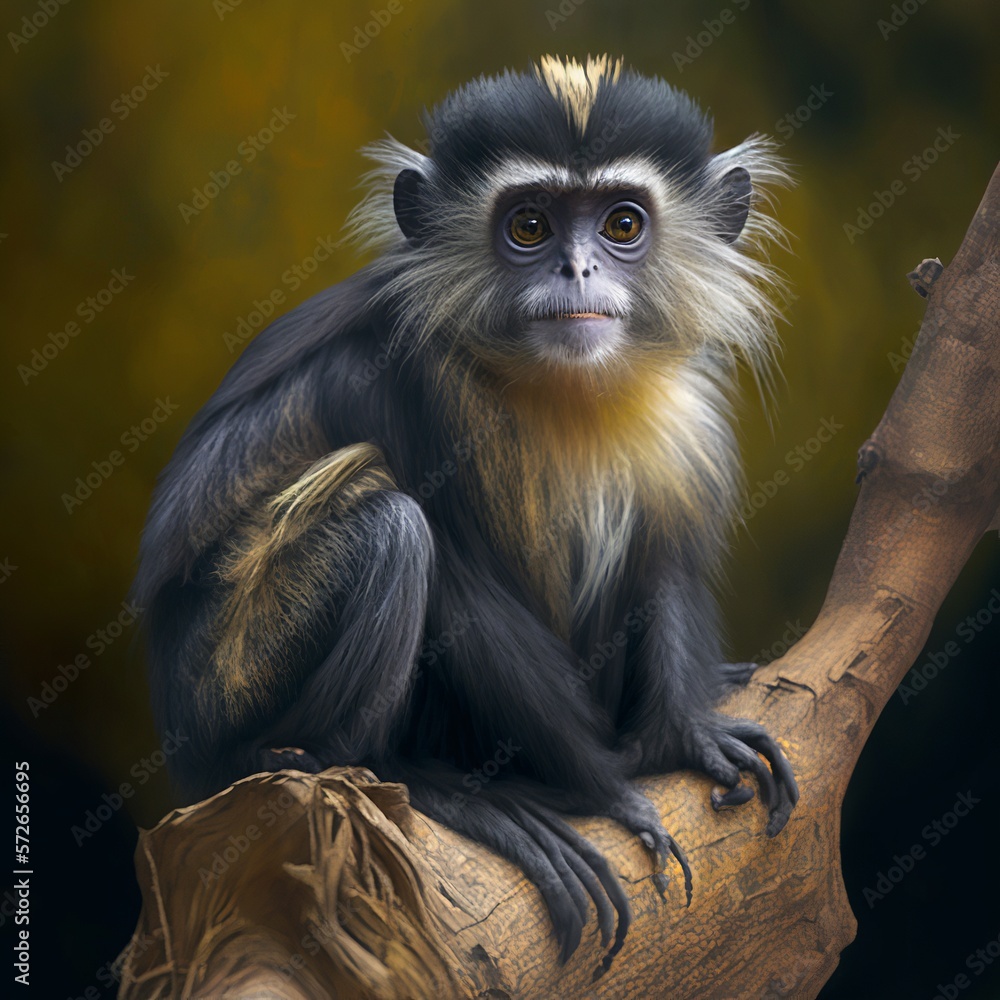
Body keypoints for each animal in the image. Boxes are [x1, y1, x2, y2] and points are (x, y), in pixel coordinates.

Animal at [133, 55, 798, 972]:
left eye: (623, 223)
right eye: (529, 225)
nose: (577, 272)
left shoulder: (681, 415)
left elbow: (661, 562)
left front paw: (684, 737)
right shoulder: (409, 379)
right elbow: (467, 589)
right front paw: (613, 790)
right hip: (227, 682)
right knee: (396, 533)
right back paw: (410, 781)